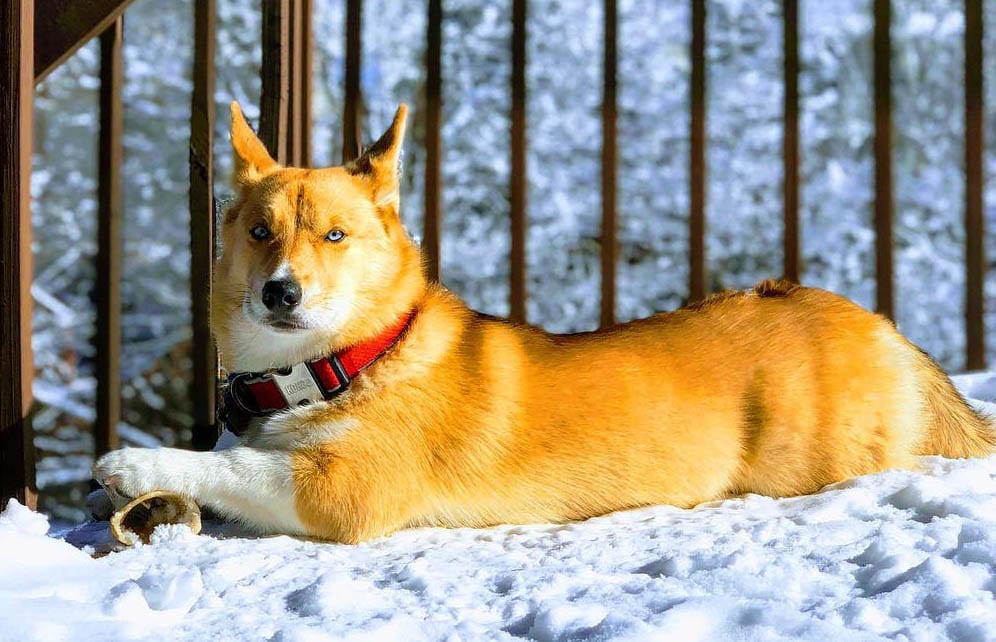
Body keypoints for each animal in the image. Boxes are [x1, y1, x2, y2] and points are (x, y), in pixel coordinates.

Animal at [93, 102, 996, 544]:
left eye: (335, 236)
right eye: (258, 233)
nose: (281, 294)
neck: (342, 365)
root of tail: (879, 324)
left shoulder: (341, 493)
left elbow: (236, 467)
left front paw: (134, 464)